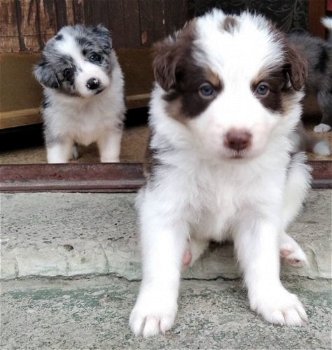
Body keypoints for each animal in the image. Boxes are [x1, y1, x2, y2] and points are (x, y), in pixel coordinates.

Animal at [130, 9, 312, 338]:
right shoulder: (164, 199)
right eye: (206, 89)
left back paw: (286, 247)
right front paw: (154, 309)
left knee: (280, 222)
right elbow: (160, 262)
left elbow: (263, 259)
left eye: (262, 88)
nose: (238, 138)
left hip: (298, 174)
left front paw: (275, 300)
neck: (224, 165)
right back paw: (187, 251)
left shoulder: (261, 207)